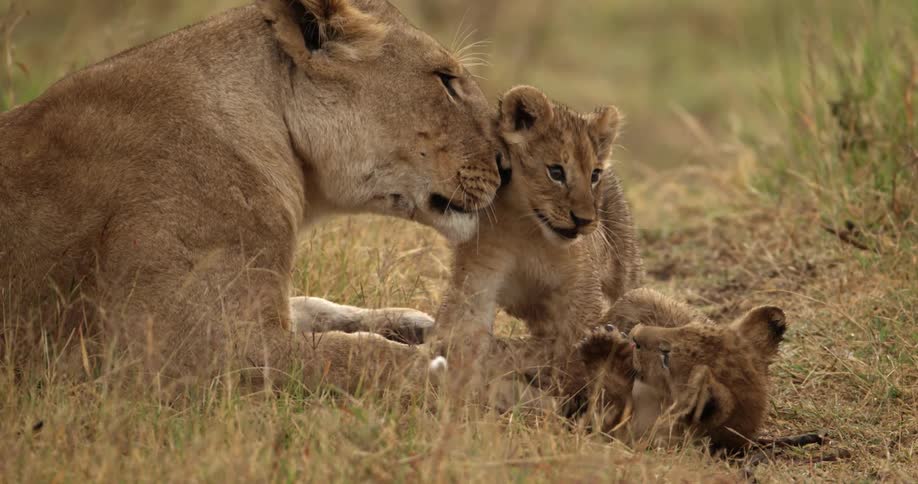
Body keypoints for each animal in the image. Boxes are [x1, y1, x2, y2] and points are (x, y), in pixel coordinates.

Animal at [0, 0, 503, 389]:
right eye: (445, 79)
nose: (506, 162)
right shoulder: (181, 350)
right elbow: (365, 356)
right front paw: (486, 372)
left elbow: (318, 307)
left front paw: (422, 325)